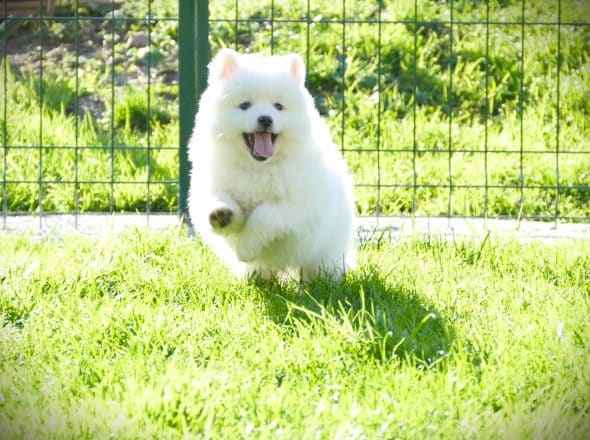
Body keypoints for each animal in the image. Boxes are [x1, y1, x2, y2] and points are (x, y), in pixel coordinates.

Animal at [190, 48, 356, 282]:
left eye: (278, 106)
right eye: (244, 105)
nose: (265, 119)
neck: (257, 167)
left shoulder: (296, 208)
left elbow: (263, 215)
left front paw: (247, 247)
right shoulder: (211, 184)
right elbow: (219, 200)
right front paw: (222, 215)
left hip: (324, 251)